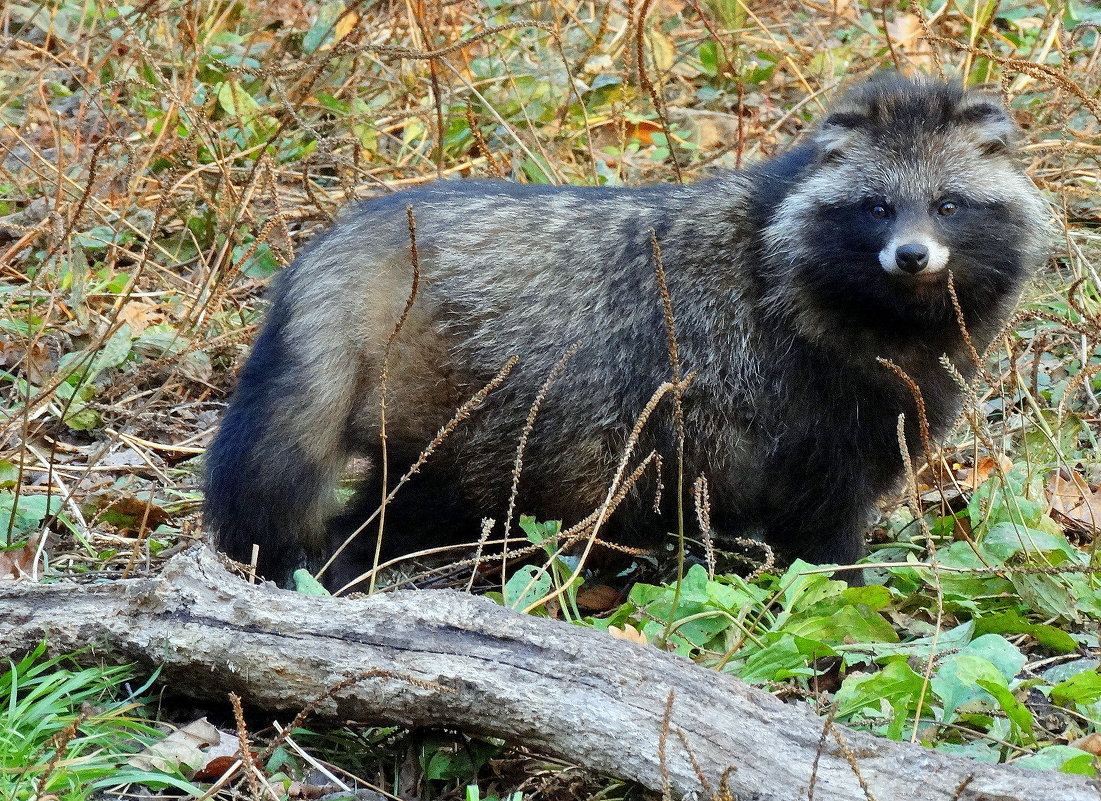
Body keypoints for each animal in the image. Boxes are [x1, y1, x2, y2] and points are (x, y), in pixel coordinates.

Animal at [204, 74, 1048, 589]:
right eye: (876, 207)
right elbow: (824, 519)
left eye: (946, 205)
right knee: (407, 499)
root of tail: (360, 236)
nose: (911, 256)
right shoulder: (811, 400)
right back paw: (345, 562)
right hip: (478, 420)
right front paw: (842, 585)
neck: (890, 311)